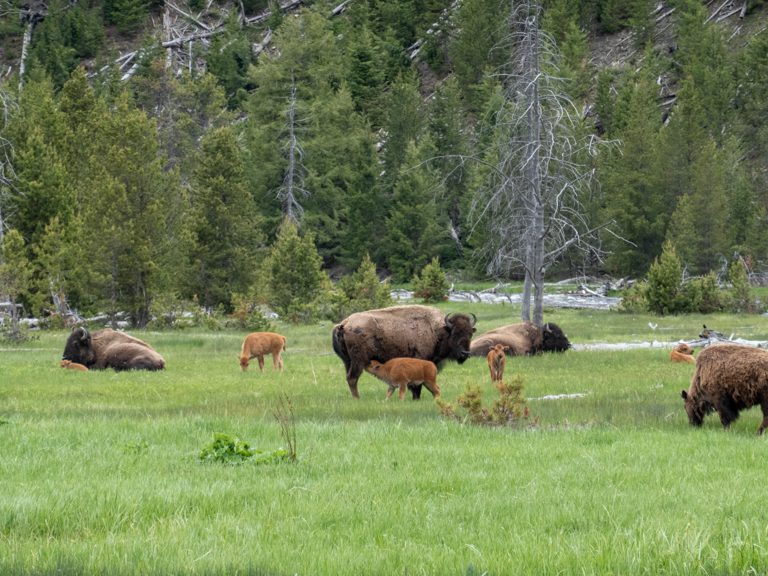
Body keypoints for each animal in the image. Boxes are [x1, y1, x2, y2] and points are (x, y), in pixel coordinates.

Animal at [330, 304, 474, 398]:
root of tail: (344, 324)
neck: (437, 330)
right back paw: (358, 398)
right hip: (358, 361)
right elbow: (417, 385)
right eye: (455, 333)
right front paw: (416, 398)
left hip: (347, 361)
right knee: (353, 378)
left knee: (350, 378)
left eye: (470, 334)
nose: (465, 353)